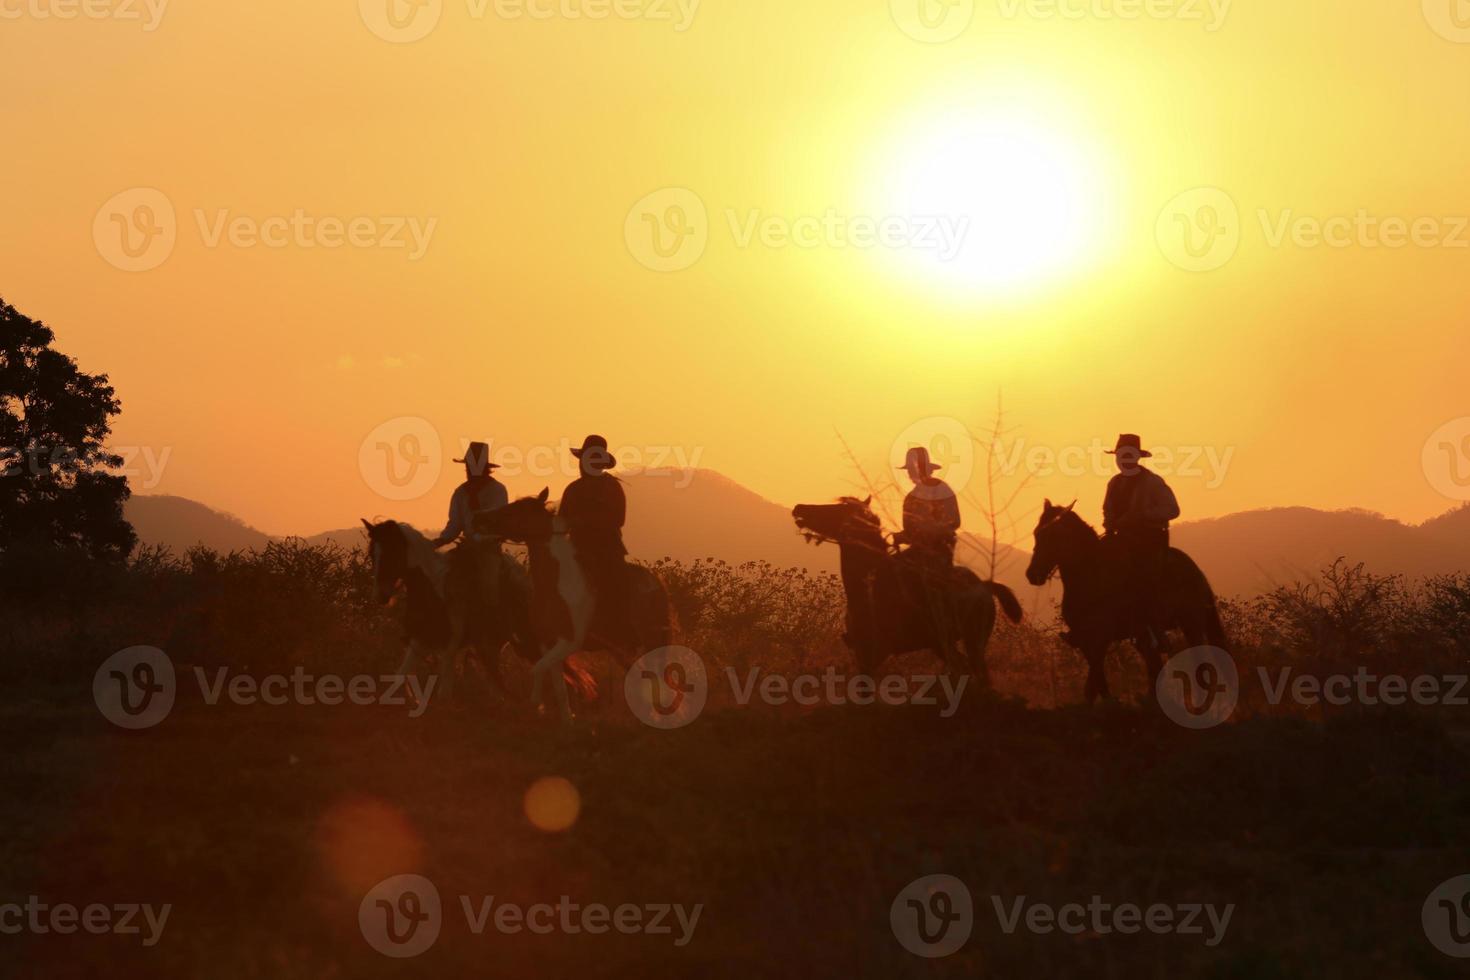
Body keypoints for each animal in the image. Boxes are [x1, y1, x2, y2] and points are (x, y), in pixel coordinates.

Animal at [793, 499, 1023, 681]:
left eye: (835, 509)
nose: (799, 508)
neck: (870, 587)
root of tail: (983, 585)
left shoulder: (873, 654)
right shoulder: (862, 656)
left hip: (972, 642)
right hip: (945, 645)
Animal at [1034, 502, 1228, 702]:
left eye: (1051, 535)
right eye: (1036, 534)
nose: (1032, 574)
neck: (1092, 576)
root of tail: (1193, 568)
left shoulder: (1100, 638)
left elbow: (1093, 685)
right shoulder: (1086, 641)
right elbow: (1096, 685)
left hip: (1191, 622)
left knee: (1199, 663)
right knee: (1157, 668)